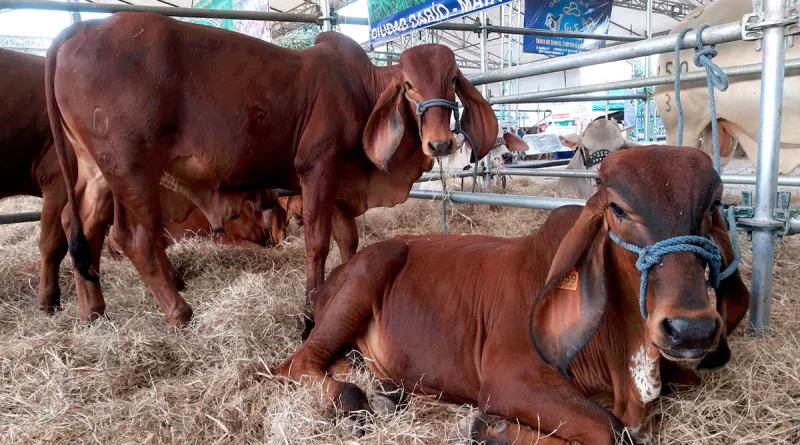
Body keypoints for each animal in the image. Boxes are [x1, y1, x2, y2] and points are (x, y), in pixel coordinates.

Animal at [45, 13, 500, 324]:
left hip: (96, 172)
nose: (439, 142)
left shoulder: (338, 181)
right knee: (134, 238)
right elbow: (317, 241)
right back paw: (180, 312)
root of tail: (77, 32)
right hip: (131, 168)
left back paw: (92, 310)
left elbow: (348, 239)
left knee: (80, 227)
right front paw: (312, 300)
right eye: (408, 85)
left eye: (453, 79)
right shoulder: (318, 168)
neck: (360, 88)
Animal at [276, 147, 752, 444]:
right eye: (618, 209)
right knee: (297, 363)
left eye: (712, 206)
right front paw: (488, 429)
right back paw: (354, 395)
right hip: (371, 270)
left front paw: (490, 430)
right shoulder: (509, 377)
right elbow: (610, 431)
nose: (690, 329)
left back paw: (381, 388)